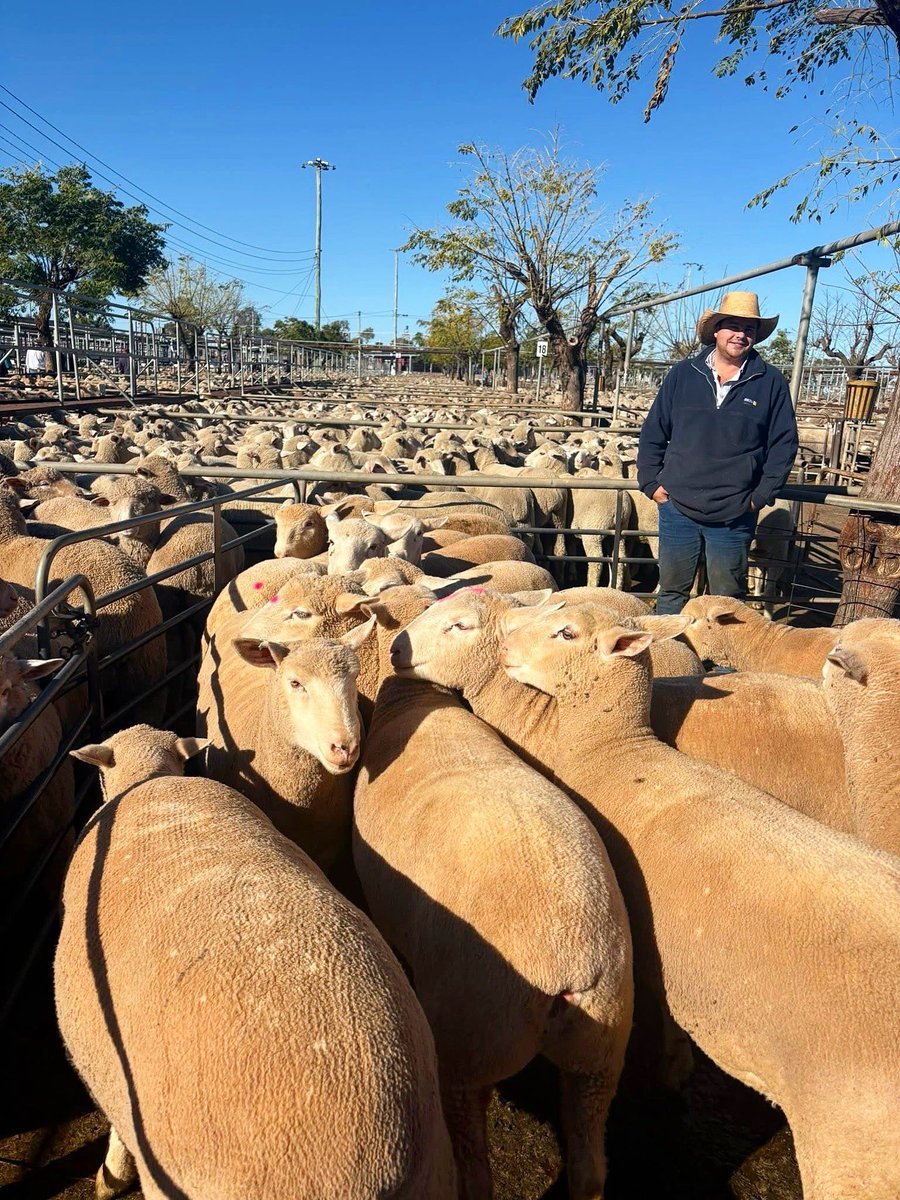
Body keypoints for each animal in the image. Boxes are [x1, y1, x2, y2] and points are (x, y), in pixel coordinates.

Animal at [355, 675, 633, 1198]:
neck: (416, 699)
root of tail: (569, 966)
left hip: (470, 1041)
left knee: (474, 1164)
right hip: (601, 1053)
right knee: (590, 1161)